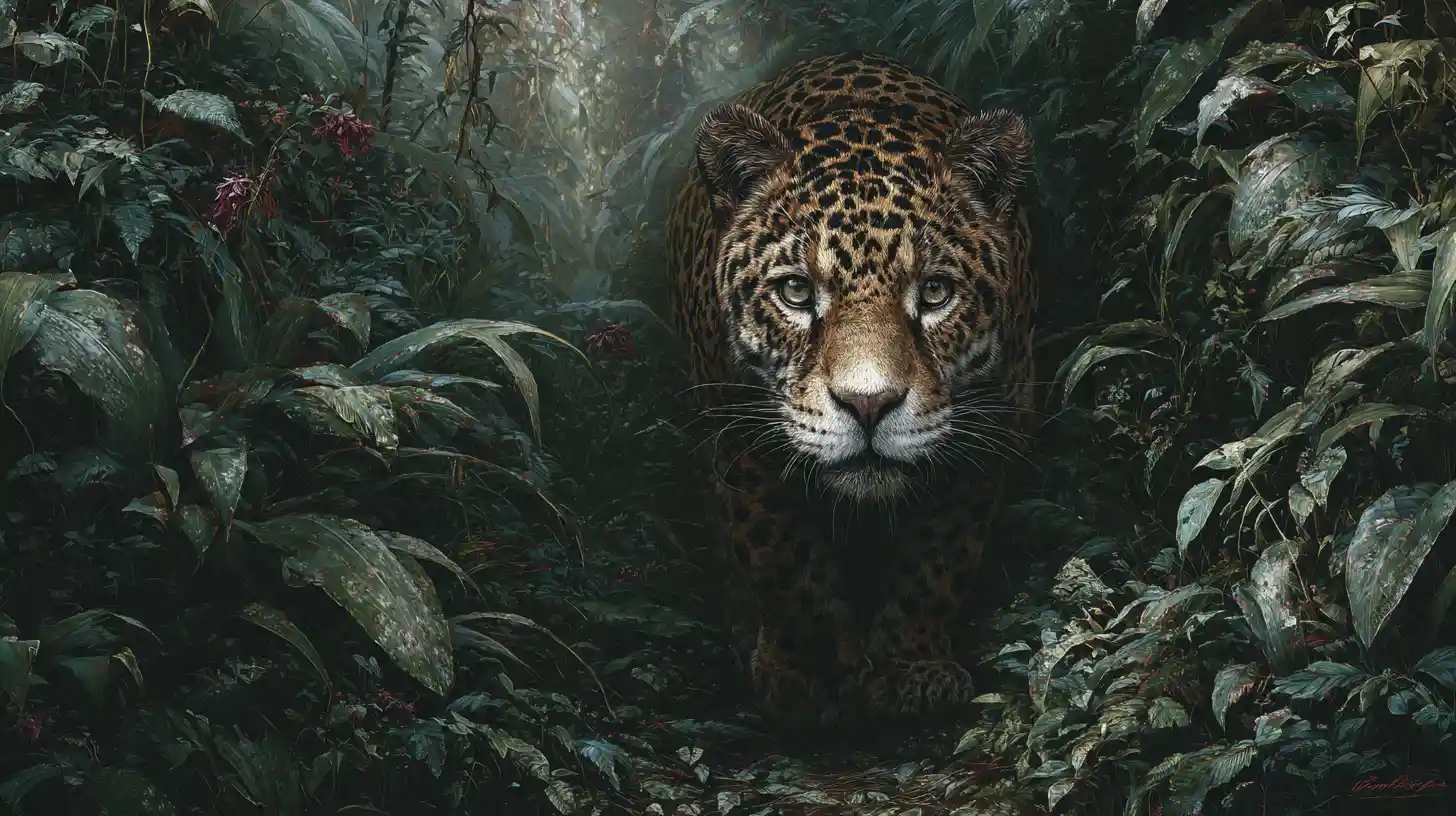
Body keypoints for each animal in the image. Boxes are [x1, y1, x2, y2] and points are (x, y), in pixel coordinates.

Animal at [664, 51, 1038, 728]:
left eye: (936, 293)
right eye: (795, 292)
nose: (869, 404)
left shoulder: (992, 426)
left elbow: (938, 555)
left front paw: (912, 670)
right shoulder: (738, 434)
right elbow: (780, 553)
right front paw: (811, 676)